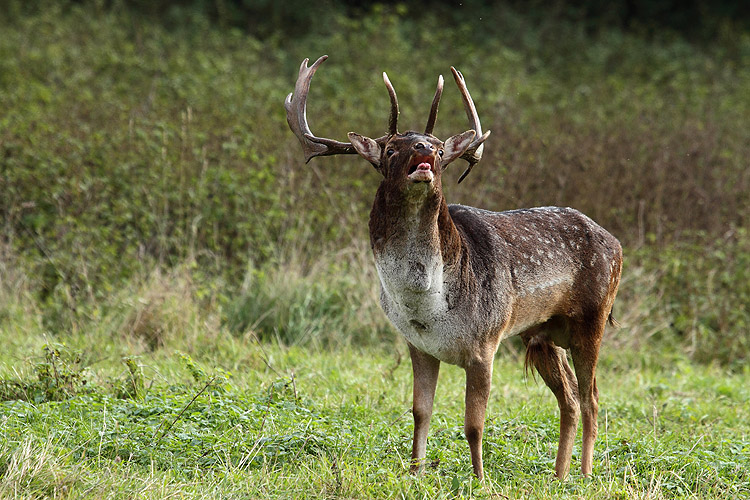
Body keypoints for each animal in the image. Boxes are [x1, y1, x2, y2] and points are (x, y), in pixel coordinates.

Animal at [284, 54, 624, 480]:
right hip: (541, 334)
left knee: (592, 398)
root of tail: (617, 243)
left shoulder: (484, 343)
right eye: (391, 148)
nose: (423, 146)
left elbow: (474, 424)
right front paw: (415, 471)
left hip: (593, 317)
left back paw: (584, 474)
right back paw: (559, 475)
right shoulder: (418, 346)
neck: (428, 306)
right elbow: (419, 412)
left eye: (439, 148)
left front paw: (480, 479)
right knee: (572, 399)